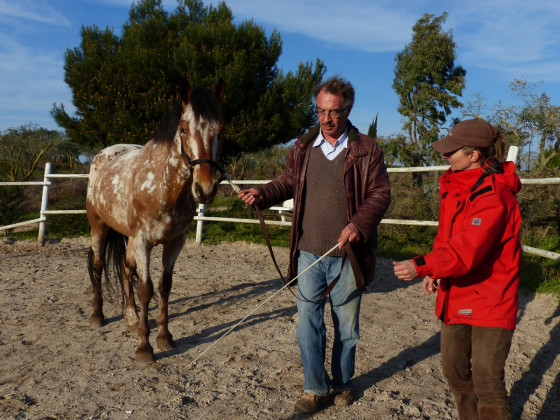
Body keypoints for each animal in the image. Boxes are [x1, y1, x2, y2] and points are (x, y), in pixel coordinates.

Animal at [86, 77, 224, 362]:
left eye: (221, 128)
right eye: (183, 129)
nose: (205, 188)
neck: (164, 185)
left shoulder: (175, 242)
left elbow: (164, 286)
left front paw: (164, 336)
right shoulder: (143, 242)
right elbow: (145, 289)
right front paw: (144, 347)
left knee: (125, 269)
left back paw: (131, 317)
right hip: (99, 227)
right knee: (98, 266)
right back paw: (97, 315)